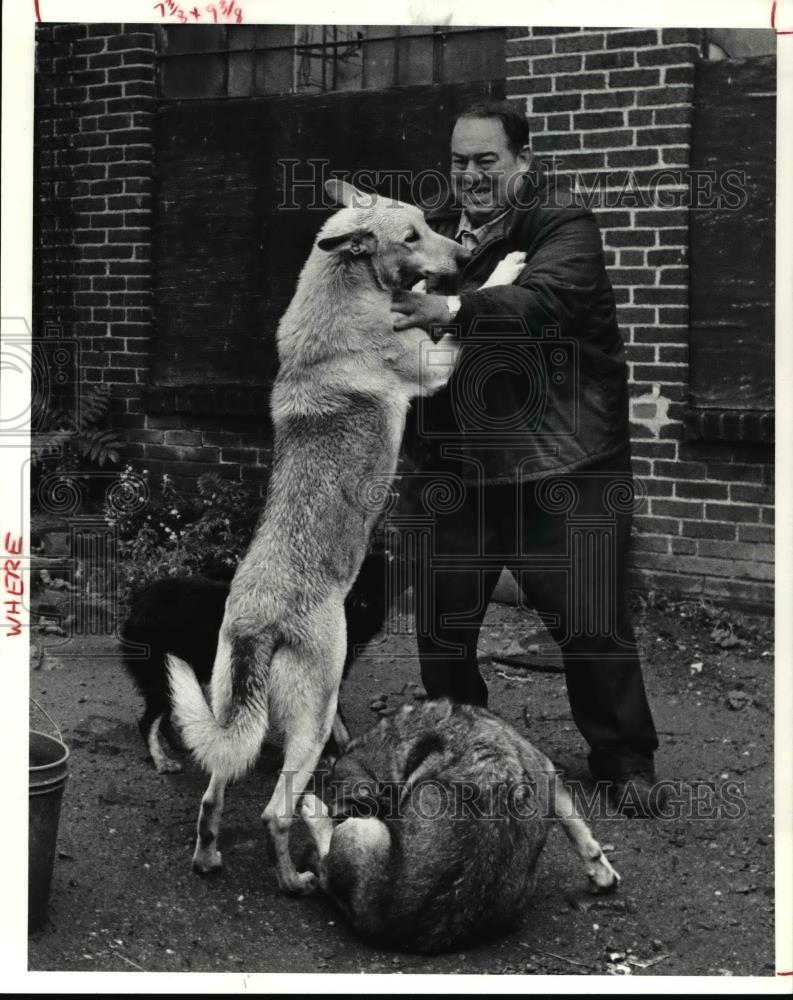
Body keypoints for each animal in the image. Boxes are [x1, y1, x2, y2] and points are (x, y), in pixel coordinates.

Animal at [120, 536, 392, 768]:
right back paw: (162, 761)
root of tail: (137, 604)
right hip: (162, 674)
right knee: (147, 722)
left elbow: (340, 726)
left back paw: (179, 745)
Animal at [166, 180, 532, 892]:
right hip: (312, 719)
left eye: (426, 222)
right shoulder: (433, 363)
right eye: (412, 235)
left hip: (230, 712)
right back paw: (294, 880)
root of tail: (257, 623)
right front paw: (505, 267)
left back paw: (209, 858)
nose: (463, 252)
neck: (342, 291)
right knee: (276, 811)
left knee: (213, 789)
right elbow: (462, 312)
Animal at [304, 696, 620, 952]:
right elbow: (578, 829)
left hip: (362, 831)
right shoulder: (545, 769)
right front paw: (602, 873)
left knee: (326, 873)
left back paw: (311, 810)